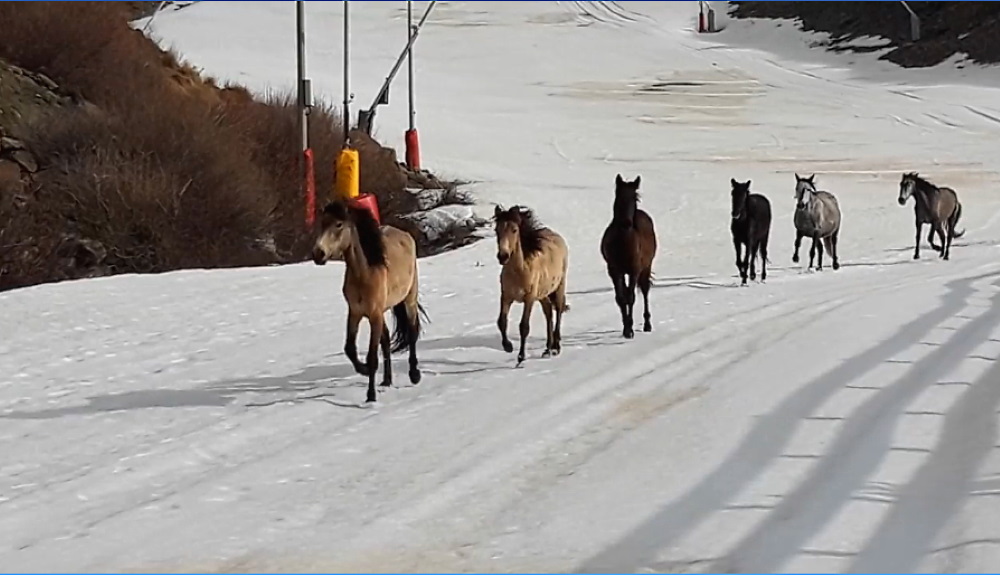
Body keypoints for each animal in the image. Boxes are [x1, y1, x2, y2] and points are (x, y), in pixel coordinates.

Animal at [310, 202, 424, 404]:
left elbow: (372, 356)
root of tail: (405, 234)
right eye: (322, 223)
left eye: (338, 224)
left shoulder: (374, 315)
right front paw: (362, 370)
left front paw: (370, 395)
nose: (318, 254)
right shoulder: (355, 313)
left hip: (409, 298)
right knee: (386, 341)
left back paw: (414, 374)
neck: (365, 274)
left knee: (411, 333)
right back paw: (386, 381)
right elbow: (350, 348)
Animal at [494, 206, 572, 364]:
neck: (520, 270)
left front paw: (521, 357)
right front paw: (508, 346)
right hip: (542, 295)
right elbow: (501, 322)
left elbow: (524, 326)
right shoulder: (506, 297)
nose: (503, 256)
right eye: (496, 230)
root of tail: (556, 236)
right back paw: (547, 349)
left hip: (559, 287)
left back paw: (555, 347)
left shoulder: (529, 299)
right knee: (548, 313)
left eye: (514, 230)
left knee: (558, 310)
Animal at [600, 173, 656, 340]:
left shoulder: (634, 270)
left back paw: (647, 325)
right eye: (618, 196)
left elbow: (631, 297)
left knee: (644, 290)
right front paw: (626, 328)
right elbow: (621, 298)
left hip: (646, 267)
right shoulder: (614, 270)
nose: (626, 223)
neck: (623, 242)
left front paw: (630, 329)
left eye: (635, 198)